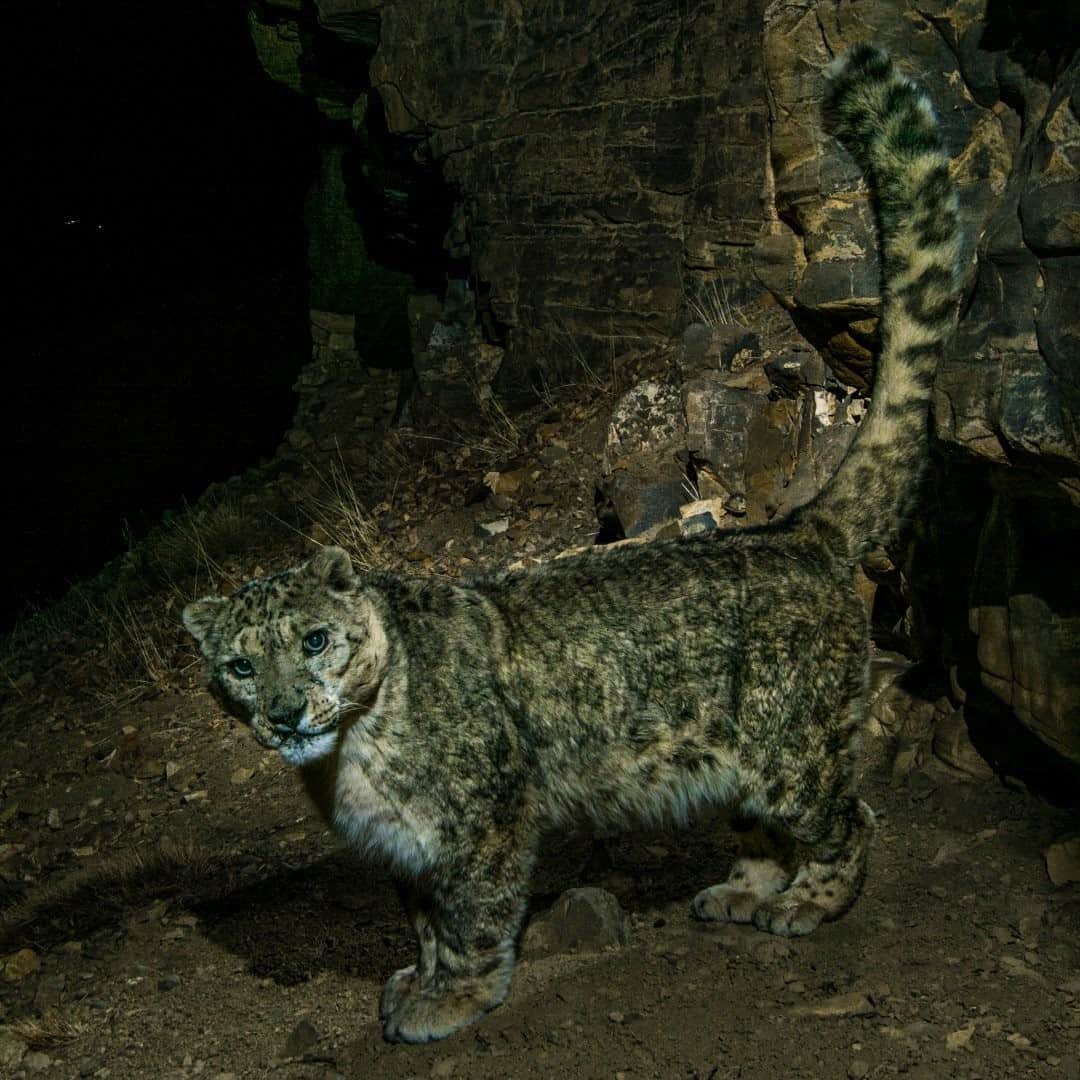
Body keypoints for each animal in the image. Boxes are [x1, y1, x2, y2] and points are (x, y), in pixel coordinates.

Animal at [183, 45, 962, 1044]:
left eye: (314, 640)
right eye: (240, 665)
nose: (283, 714)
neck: (348, 768)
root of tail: (803, 532)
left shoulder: (477, 824)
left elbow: (471, 919)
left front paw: (449, 1000)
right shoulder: (405, 851)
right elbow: (422, 921)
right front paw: (411, 981)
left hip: (794, 744)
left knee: (847, 814)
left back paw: (805, 904)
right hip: (740, 769)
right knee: (762, 826)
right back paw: (741, 894)